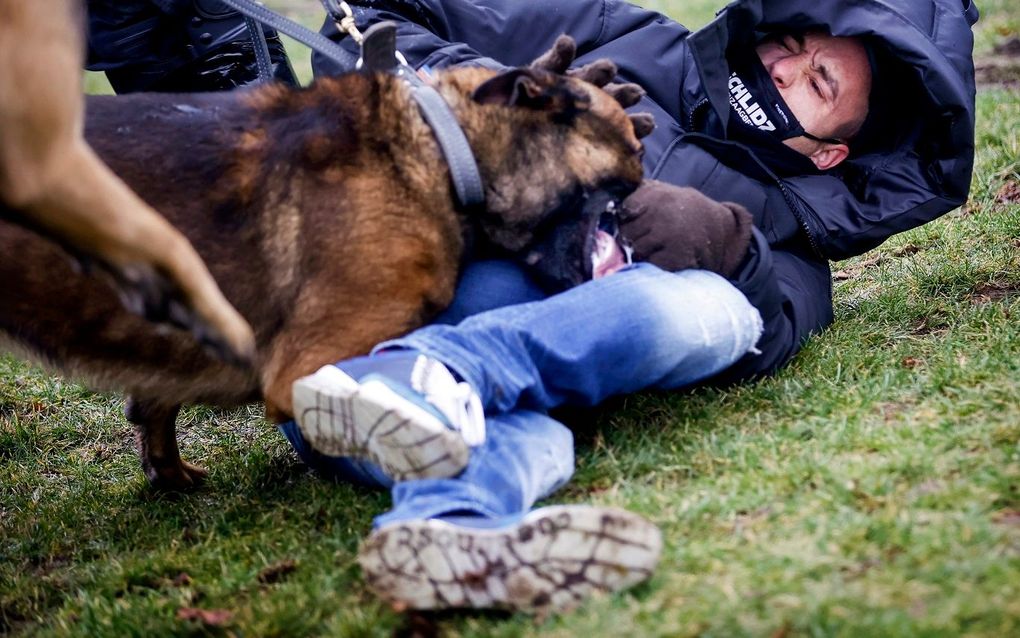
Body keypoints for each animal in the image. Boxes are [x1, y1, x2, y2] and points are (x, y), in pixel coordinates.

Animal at [0, 34, 648, 489]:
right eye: (632, 159)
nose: (637, 211)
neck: (441, 149)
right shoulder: (309, 368)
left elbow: (157, 399)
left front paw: (166, 468)